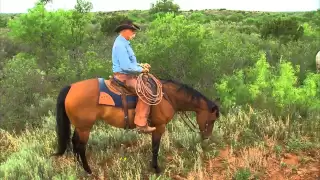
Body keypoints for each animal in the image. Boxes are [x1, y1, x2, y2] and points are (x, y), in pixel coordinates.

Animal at [52, 74, 220, 174]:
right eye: (212, 119)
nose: (206, 137)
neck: (167, 97)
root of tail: (71, 87)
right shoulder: (159, 127)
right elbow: (155, 147)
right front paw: (156, 168)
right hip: (85, 128)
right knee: (80, 146)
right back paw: (88, 170)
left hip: (80, 127)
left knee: (74, 142)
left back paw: (78, 166)